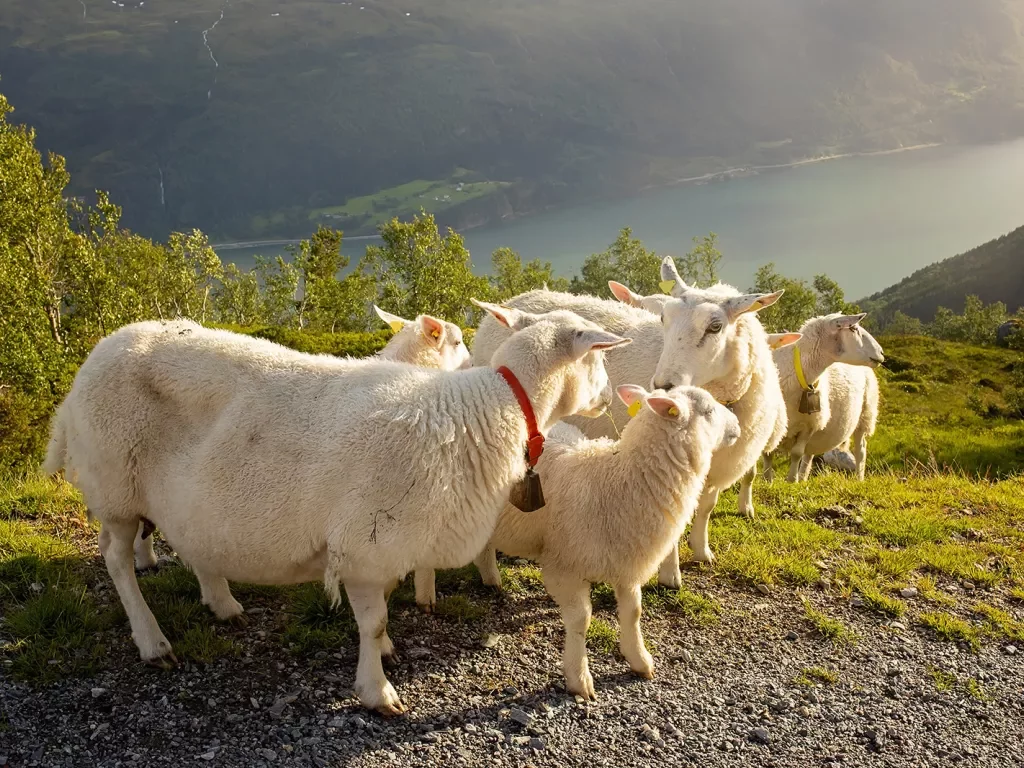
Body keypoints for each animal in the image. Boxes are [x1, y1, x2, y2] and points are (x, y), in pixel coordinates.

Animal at [468, 385, 741, 696]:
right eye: (708, 411)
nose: (738, 426)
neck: (619, 480)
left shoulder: (628, 564)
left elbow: (633, 612)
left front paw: (639, 659)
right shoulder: (565, 567)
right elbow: (580, 621)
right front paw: (579, 678)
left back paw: (491, 578)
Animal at [770, 313, 884, 481]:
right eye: (853, 328)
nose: (882, 353)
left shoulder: (808, 426)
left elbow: (796, 454)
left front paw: (791, 481)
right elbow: (768, 454)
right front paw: (768, 480)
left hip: (865, 415)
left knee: (860, 451)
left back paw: (859, 479)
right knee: (809, 455)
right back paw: (803, 479)